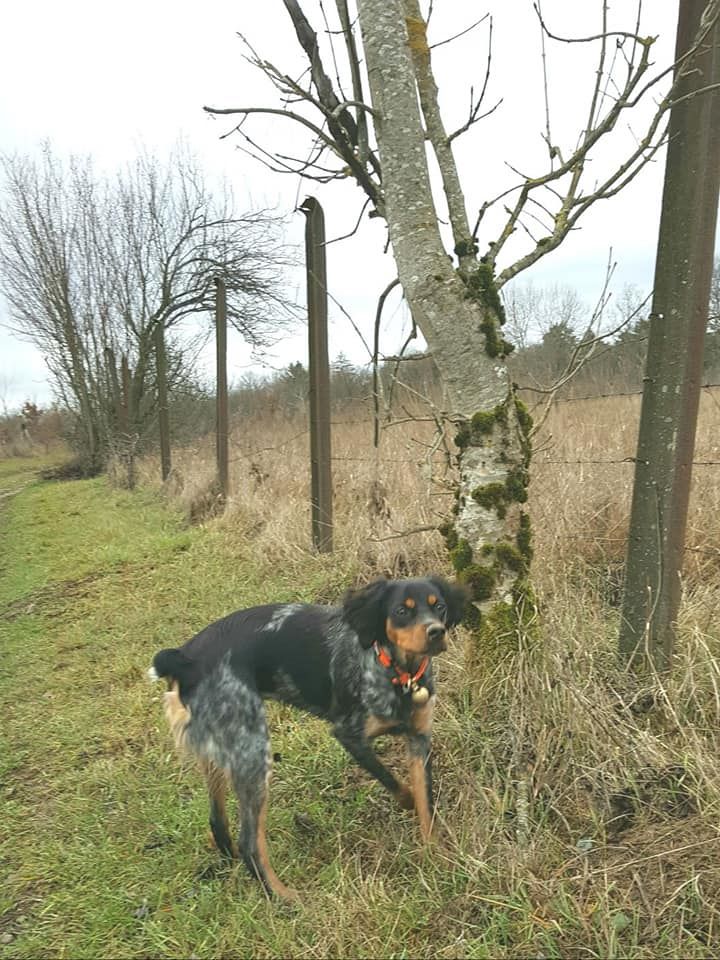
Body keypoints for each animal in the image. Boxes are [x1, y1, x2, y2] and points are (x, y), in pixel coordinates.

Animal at [149, 572, 470, 896]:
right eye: (402, 611)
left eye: (439, 606)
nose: (436, 632)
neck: (398, 673)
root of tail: (186, 660)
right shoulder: (349, 734)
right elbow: (395, 783)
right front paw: (408, 805)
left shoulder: (420, 738)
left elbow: (425, 803)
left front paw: (436, 854)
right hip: (252, 751)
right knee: (250, 842)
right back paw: (284, 897)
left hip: (220, 748)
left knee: (217, 820)